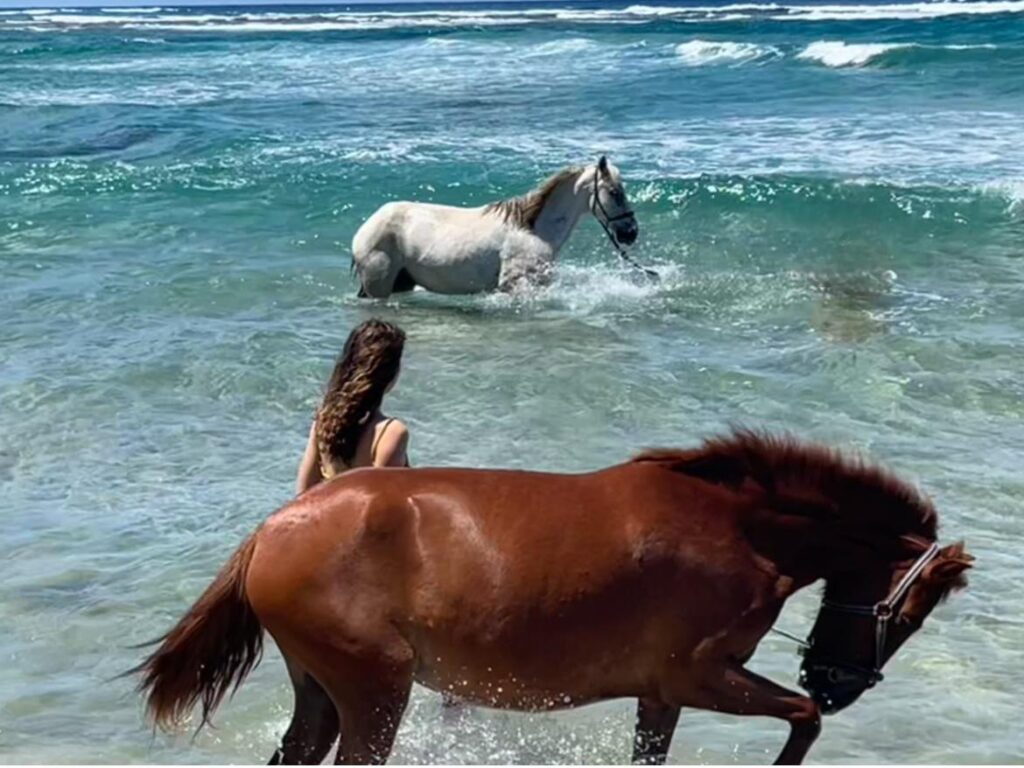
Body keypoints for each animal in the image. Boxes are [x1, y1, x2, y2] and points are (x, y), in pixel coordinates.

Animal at [134, 429, 973, 765]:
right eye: (911, 613)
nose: (839, 685)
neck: (736, 526)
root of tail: (274, 528)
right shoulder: (701, 676)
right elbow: (800, 724)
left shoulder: (662, 694)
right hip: (375, 692)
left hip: (322, 694)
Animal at [350, 156, 640, 298]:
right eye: (614, 192)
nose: (630, 232)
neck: (532, 230)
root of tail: (365, 229)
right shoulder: (515, 286)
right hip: (378, 285)